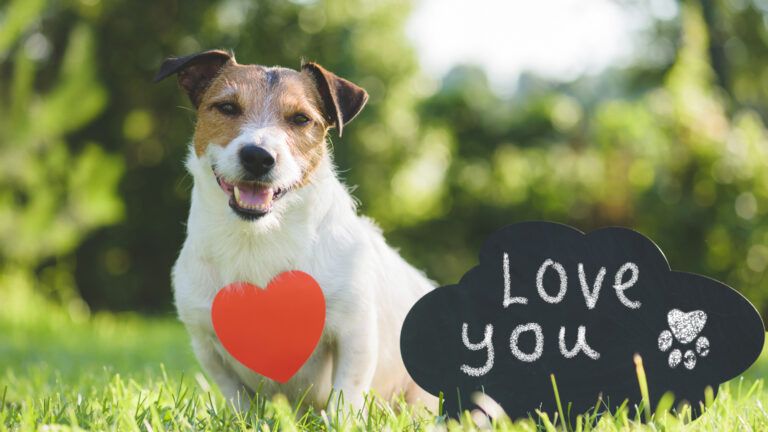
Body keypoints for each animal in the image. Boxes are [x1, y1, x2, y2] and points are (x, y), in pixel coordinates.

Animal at [154, 50, 438, 412]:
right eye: (227, 107)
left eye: (301, 119)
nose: (258, 156)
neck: (258, 239)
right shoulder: (207, 343)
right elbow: (237, 400)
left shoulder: (355, 334)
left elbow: (344, 399)